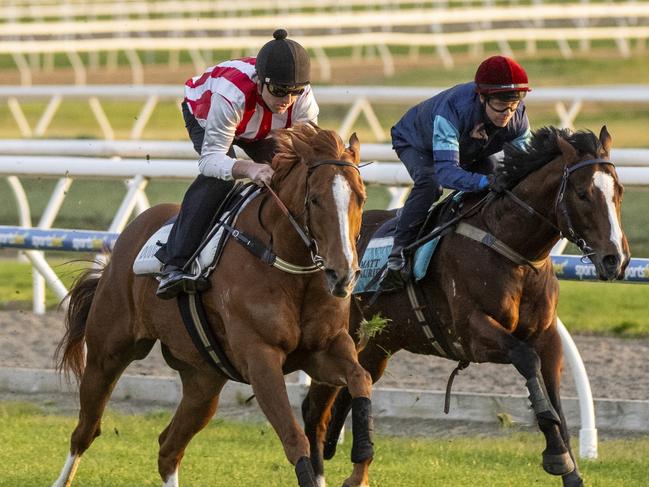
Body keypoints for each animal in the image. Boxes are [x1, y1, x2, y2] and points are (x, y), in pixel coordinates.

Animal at [54, 125, 374, 487]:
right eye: (316, 199)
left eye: (361, 197)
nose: (343, 274)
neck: (287, 264)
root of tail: (129, 235)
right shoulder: (260, 358)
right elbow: (294, 438)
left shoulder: (323, 349)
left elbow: (361, 378)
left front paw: (359, 470)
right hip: (107, 354)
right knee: (86, 431)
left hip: (203, 380)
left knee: (168, 447)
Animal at [302, 127, 628, 487]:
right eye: (583, 194)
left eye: (619, 191)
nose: (615, 259)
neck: (510, 245)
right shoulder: (472, 332)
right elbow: (527, 359)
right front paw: (555, 452)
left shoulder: (547, 336)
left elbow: (556, 396)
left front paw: (570, 467)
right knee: (313, 412)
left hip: (377, 344)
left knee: (353, 388)